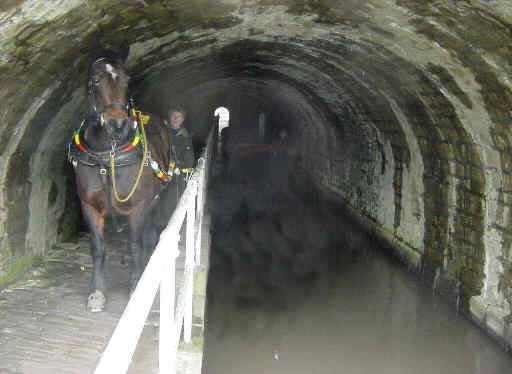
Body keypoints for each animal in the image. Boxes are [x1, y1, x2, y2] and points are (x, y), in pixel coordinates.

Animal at [69, 43, 173, 312]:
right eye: (96, 80)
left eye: (127, 79)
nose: (117, 124)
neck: (109, 155)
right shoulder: (89, 206)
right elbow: (98, 248)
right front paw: (96, 292)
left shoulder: (138, 205)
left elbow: (135, 243)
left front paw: (136, 284)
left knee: (146, 232)